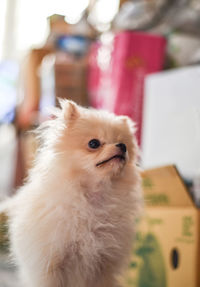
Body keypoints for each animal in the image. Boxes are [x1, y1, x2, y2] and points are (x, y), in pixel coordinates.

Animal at [0, 100, 141, 287]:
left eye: (123, 143)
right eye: (94, 143)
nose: (122, 147)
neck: (93, 198)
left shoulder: (103, 267)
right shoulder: (51, 266)